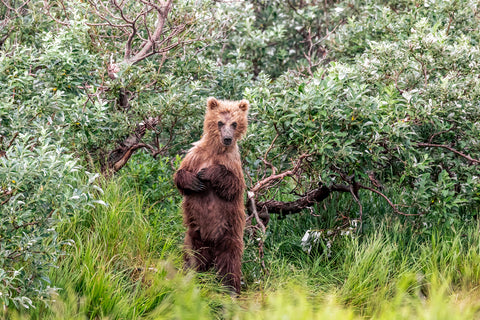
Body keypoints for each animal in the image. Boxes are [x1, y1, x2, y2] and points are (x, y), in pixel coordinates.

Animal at [173, 96, 249, 294]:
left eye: (235, 123)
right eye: (220, 122)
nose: (227, 138)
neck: (216, 150)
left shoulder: (233, 163)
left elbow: (233, 185)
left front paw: (207, 173)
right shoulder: (195, 155)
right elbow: (180, 175)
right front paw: (194, 181)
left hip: (229, 233)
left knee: (230, 262)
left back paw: (230, 290)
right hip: (195, 234)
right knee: (193, 256)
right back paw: (192, 277)